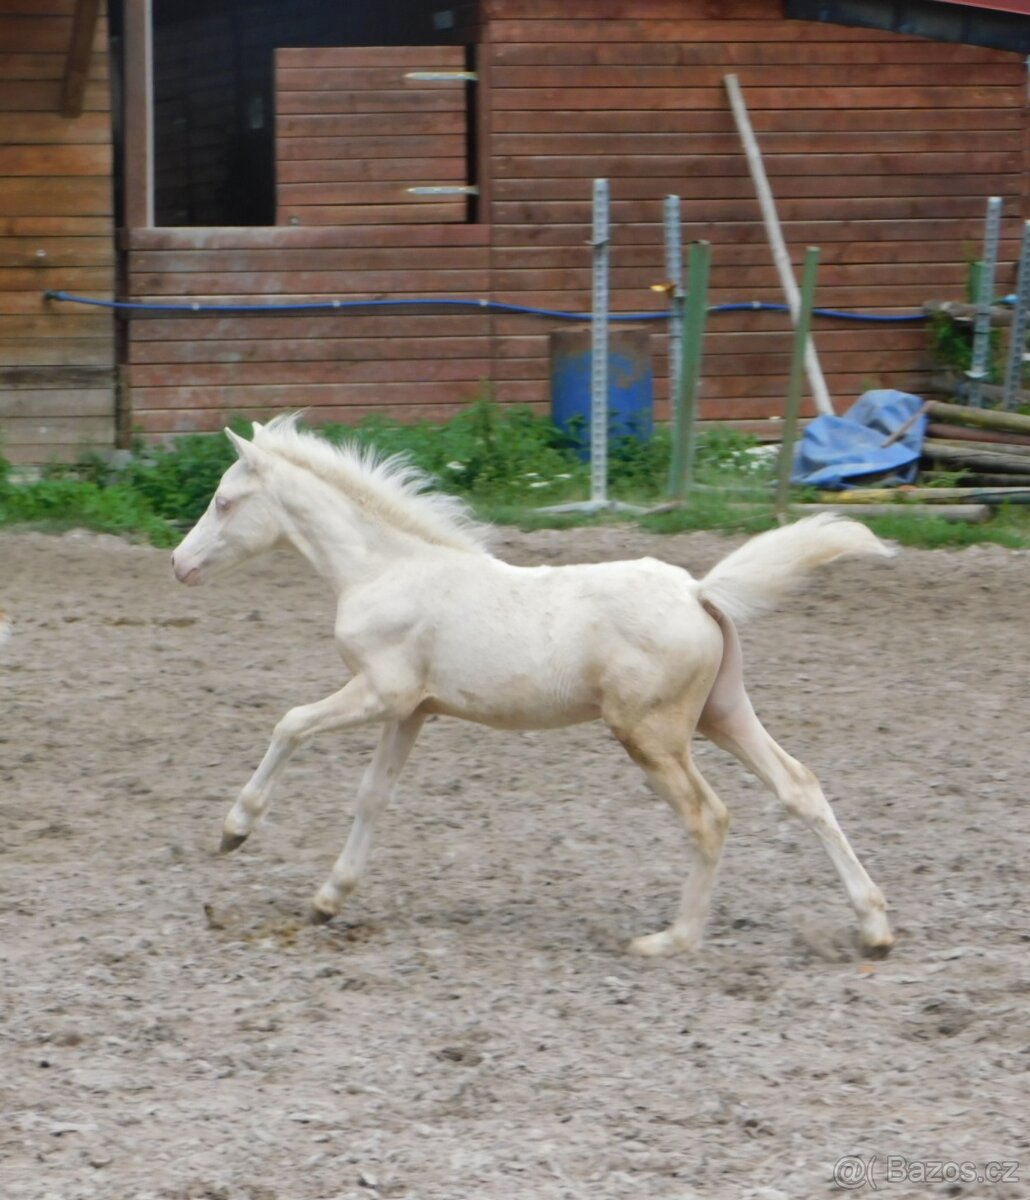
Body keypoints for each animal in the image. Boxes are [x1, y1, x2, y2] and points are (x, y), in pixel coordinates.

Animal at [171, 415, 896, 958]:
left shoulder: (379, 692)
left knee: (709, 817)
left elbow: (290, 722)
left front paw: (235, 830)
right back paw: (874, 928)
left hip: (652, 734)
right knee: (800, 787)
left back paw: (671, 940)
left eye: (224, 501)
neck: (386, 569)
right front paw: (328, 898)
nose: (179, 564)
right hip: (723, 713)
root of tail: (699, 591)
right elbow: (372, 797)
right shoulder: (411, 710)